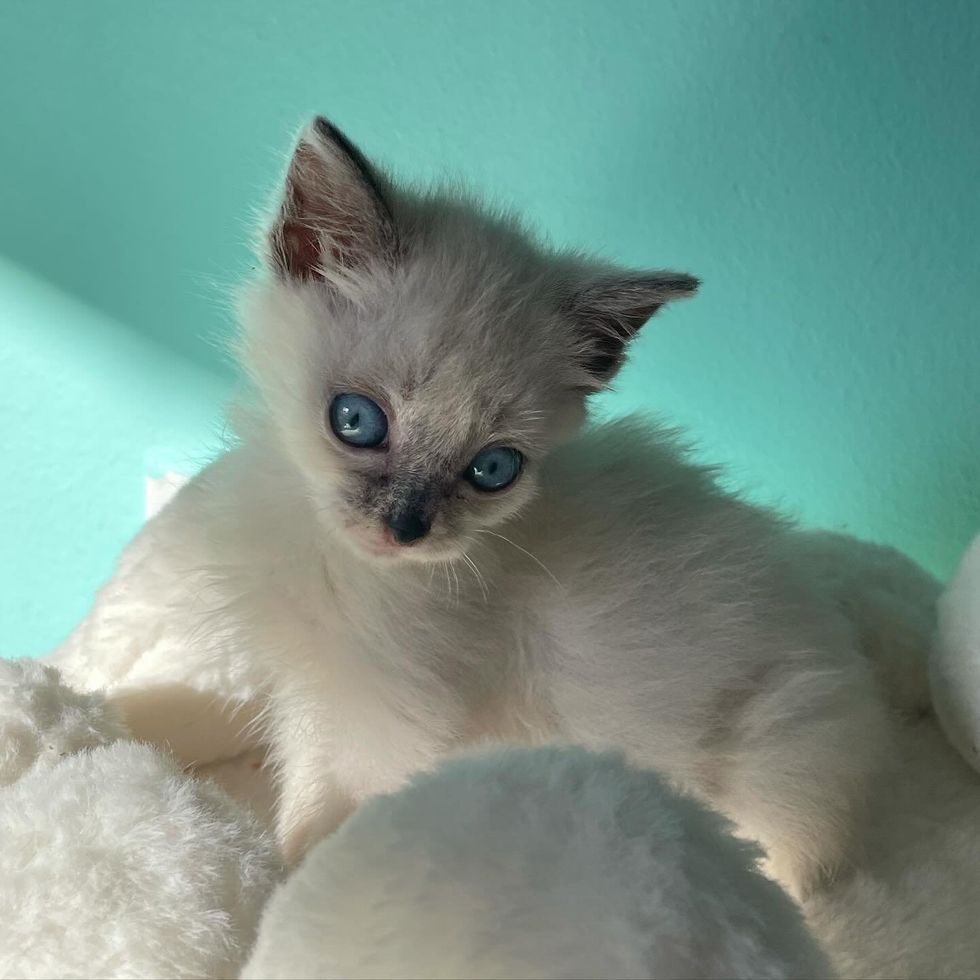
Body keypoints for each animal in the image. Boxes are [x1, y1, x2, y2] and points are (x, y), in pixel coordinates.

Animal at [49, 118, 936, 892]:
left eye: (493, 469)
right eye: (356, 420)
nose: (406, 528)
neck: (350, 570)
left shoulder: (378, 721)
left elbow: (318, 833)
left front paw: (278, 908)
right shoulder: (303, 684)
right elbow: (249, 750)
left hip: (767, 785)